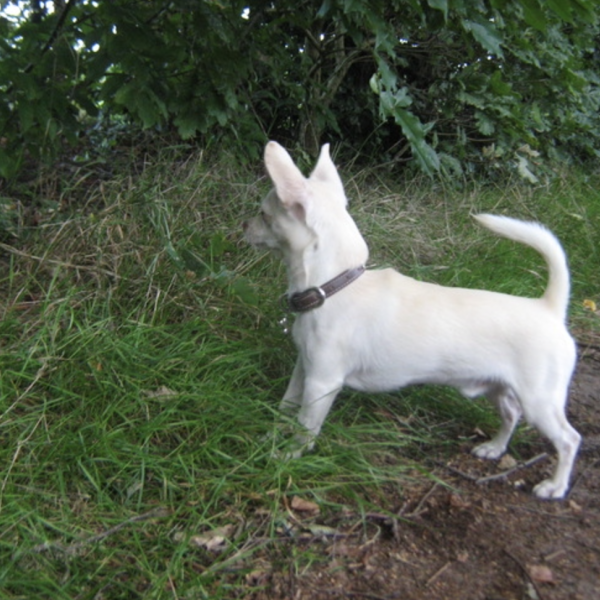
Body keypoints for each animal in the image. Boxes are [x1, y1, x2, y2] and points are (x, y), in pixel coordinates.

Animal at [244, 141, 580, 496]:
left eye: (264, 215)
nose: (244, 226)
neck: (333, 287)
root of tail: (549, 308)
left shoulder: (322, 382)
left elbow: (305, 427)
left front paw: (287, 457)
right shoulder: (304, 371)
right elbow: (286, 407)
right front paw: (270, 436)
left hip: (540, 400)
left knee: (569, 439)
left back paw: (555, 486)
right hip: (499, 387)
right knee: (511, 414)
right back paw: (494, 447)